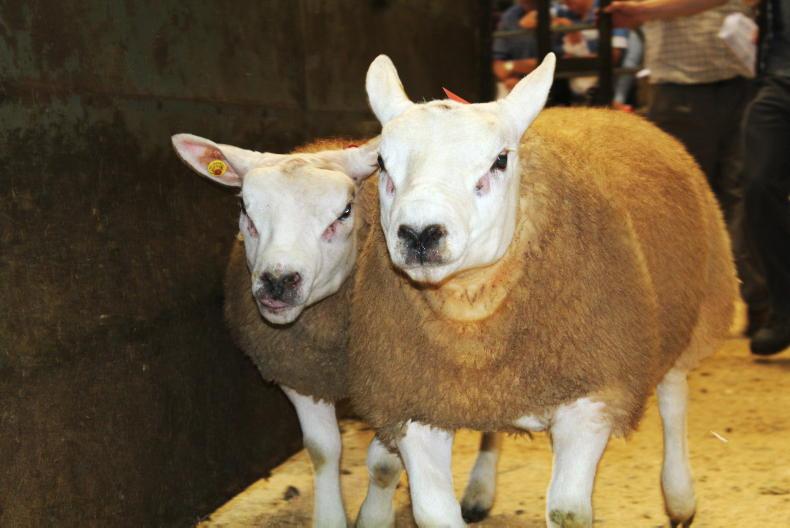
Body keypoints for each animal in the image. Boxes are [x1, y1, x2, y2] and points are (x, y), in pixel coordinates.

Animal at [171, 134, 504, 527]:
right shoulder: (300, 371)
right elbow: (322, 450)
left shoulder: (405, 384)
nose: (278, 281)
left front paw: (374, 517)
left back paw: (479, 490)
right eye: (244, 209)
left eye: (344, 212)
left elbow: (383, 463)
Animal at [349, 53, 737, 528]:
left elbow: (569, 511)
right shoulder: (417, 402)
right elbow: (432, 511)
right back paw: (480, 489)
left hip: (691, 309)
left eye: (500, 160)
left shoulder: (592, 397)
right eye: (383, 163)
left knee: (674, 395)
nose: (421, 233)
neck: (471, 310)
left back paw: (680, 496)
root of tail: (604, 110)